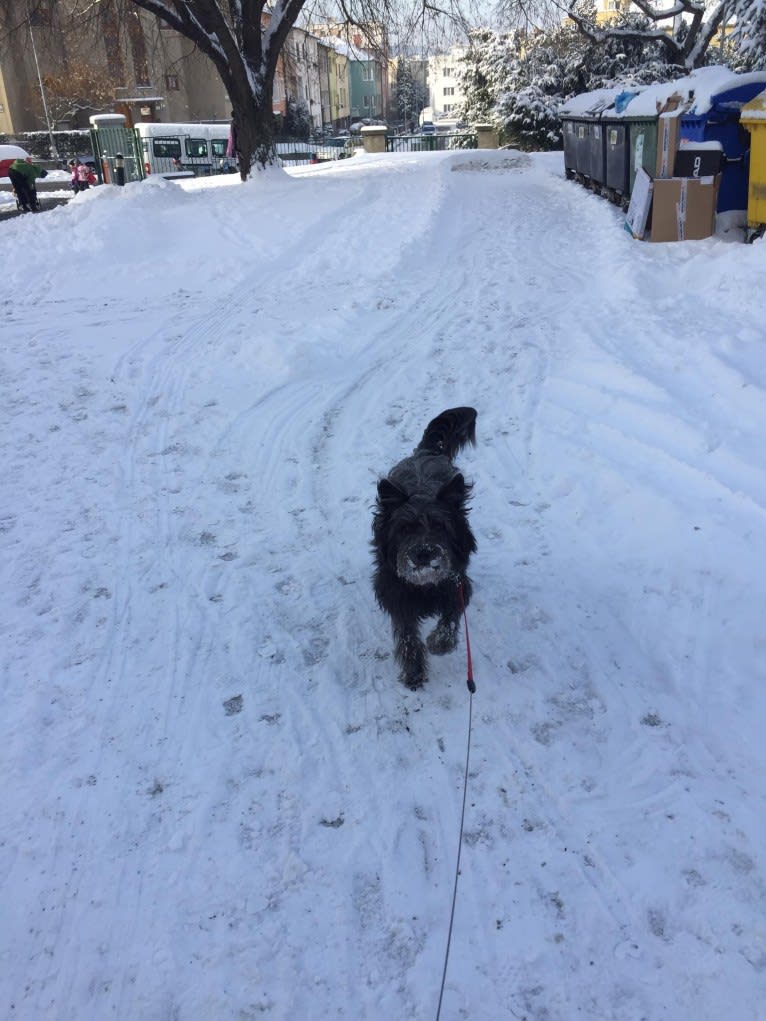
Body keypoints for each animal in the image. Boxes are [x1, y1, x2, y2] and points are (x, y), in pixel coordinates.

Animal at [373, 404, 480, 686]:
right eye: (404, 528)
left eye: (440, 526)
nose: (423, 554)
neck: (425, 586)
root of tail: (425, 452)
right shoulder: (396, 593)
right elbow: (407, 634)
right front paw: (413, 669)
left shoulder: (456, 583)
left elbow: (451, 615)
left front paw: (439, 643)